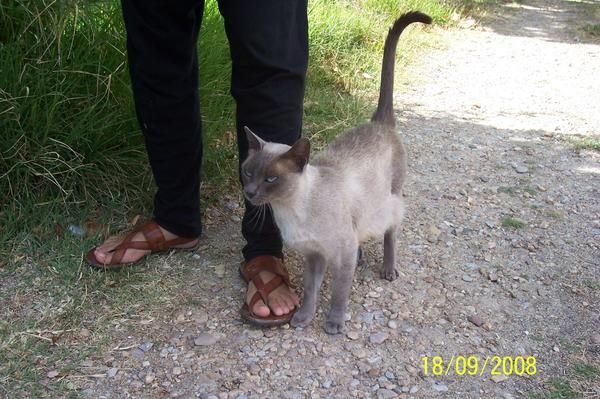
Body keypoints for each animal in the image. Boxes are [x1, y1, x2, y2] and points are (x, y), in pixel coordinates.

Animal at [239, 11, 432, 334]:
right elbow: (310, 292)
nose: (250, 193)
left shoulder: (339, 254)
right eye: (248, 173)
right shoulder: (314, 255)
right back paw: (363, 259)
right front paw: (303, 319)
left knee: (391, 233)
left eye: (271, 179)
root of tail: (379, 123)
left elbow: (339, 293)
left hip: (390, 203)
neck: (289, 210)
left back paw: (388, 269)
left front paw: (334, 324)